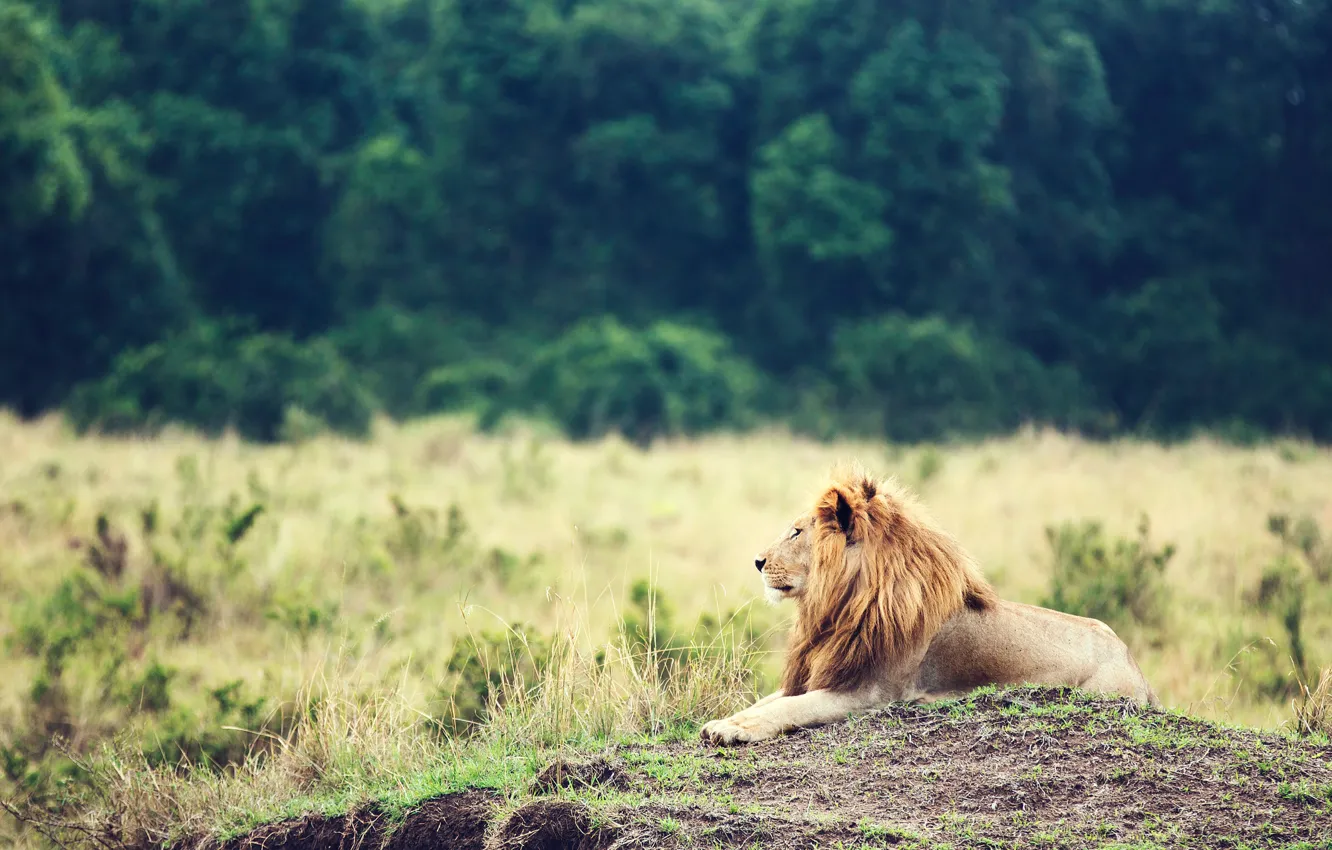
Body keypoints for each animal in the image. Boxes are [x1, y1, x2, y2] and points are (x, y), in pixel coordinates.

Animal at [699, 466, 1161, 745]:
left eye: (796, 532)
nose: (758, 562)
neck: (840, 605)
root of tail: (1137, 668)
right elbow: (766, 701)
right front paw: (723, 721)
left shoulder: (870, 692)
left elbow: (791, 706)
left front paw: (736, 730)